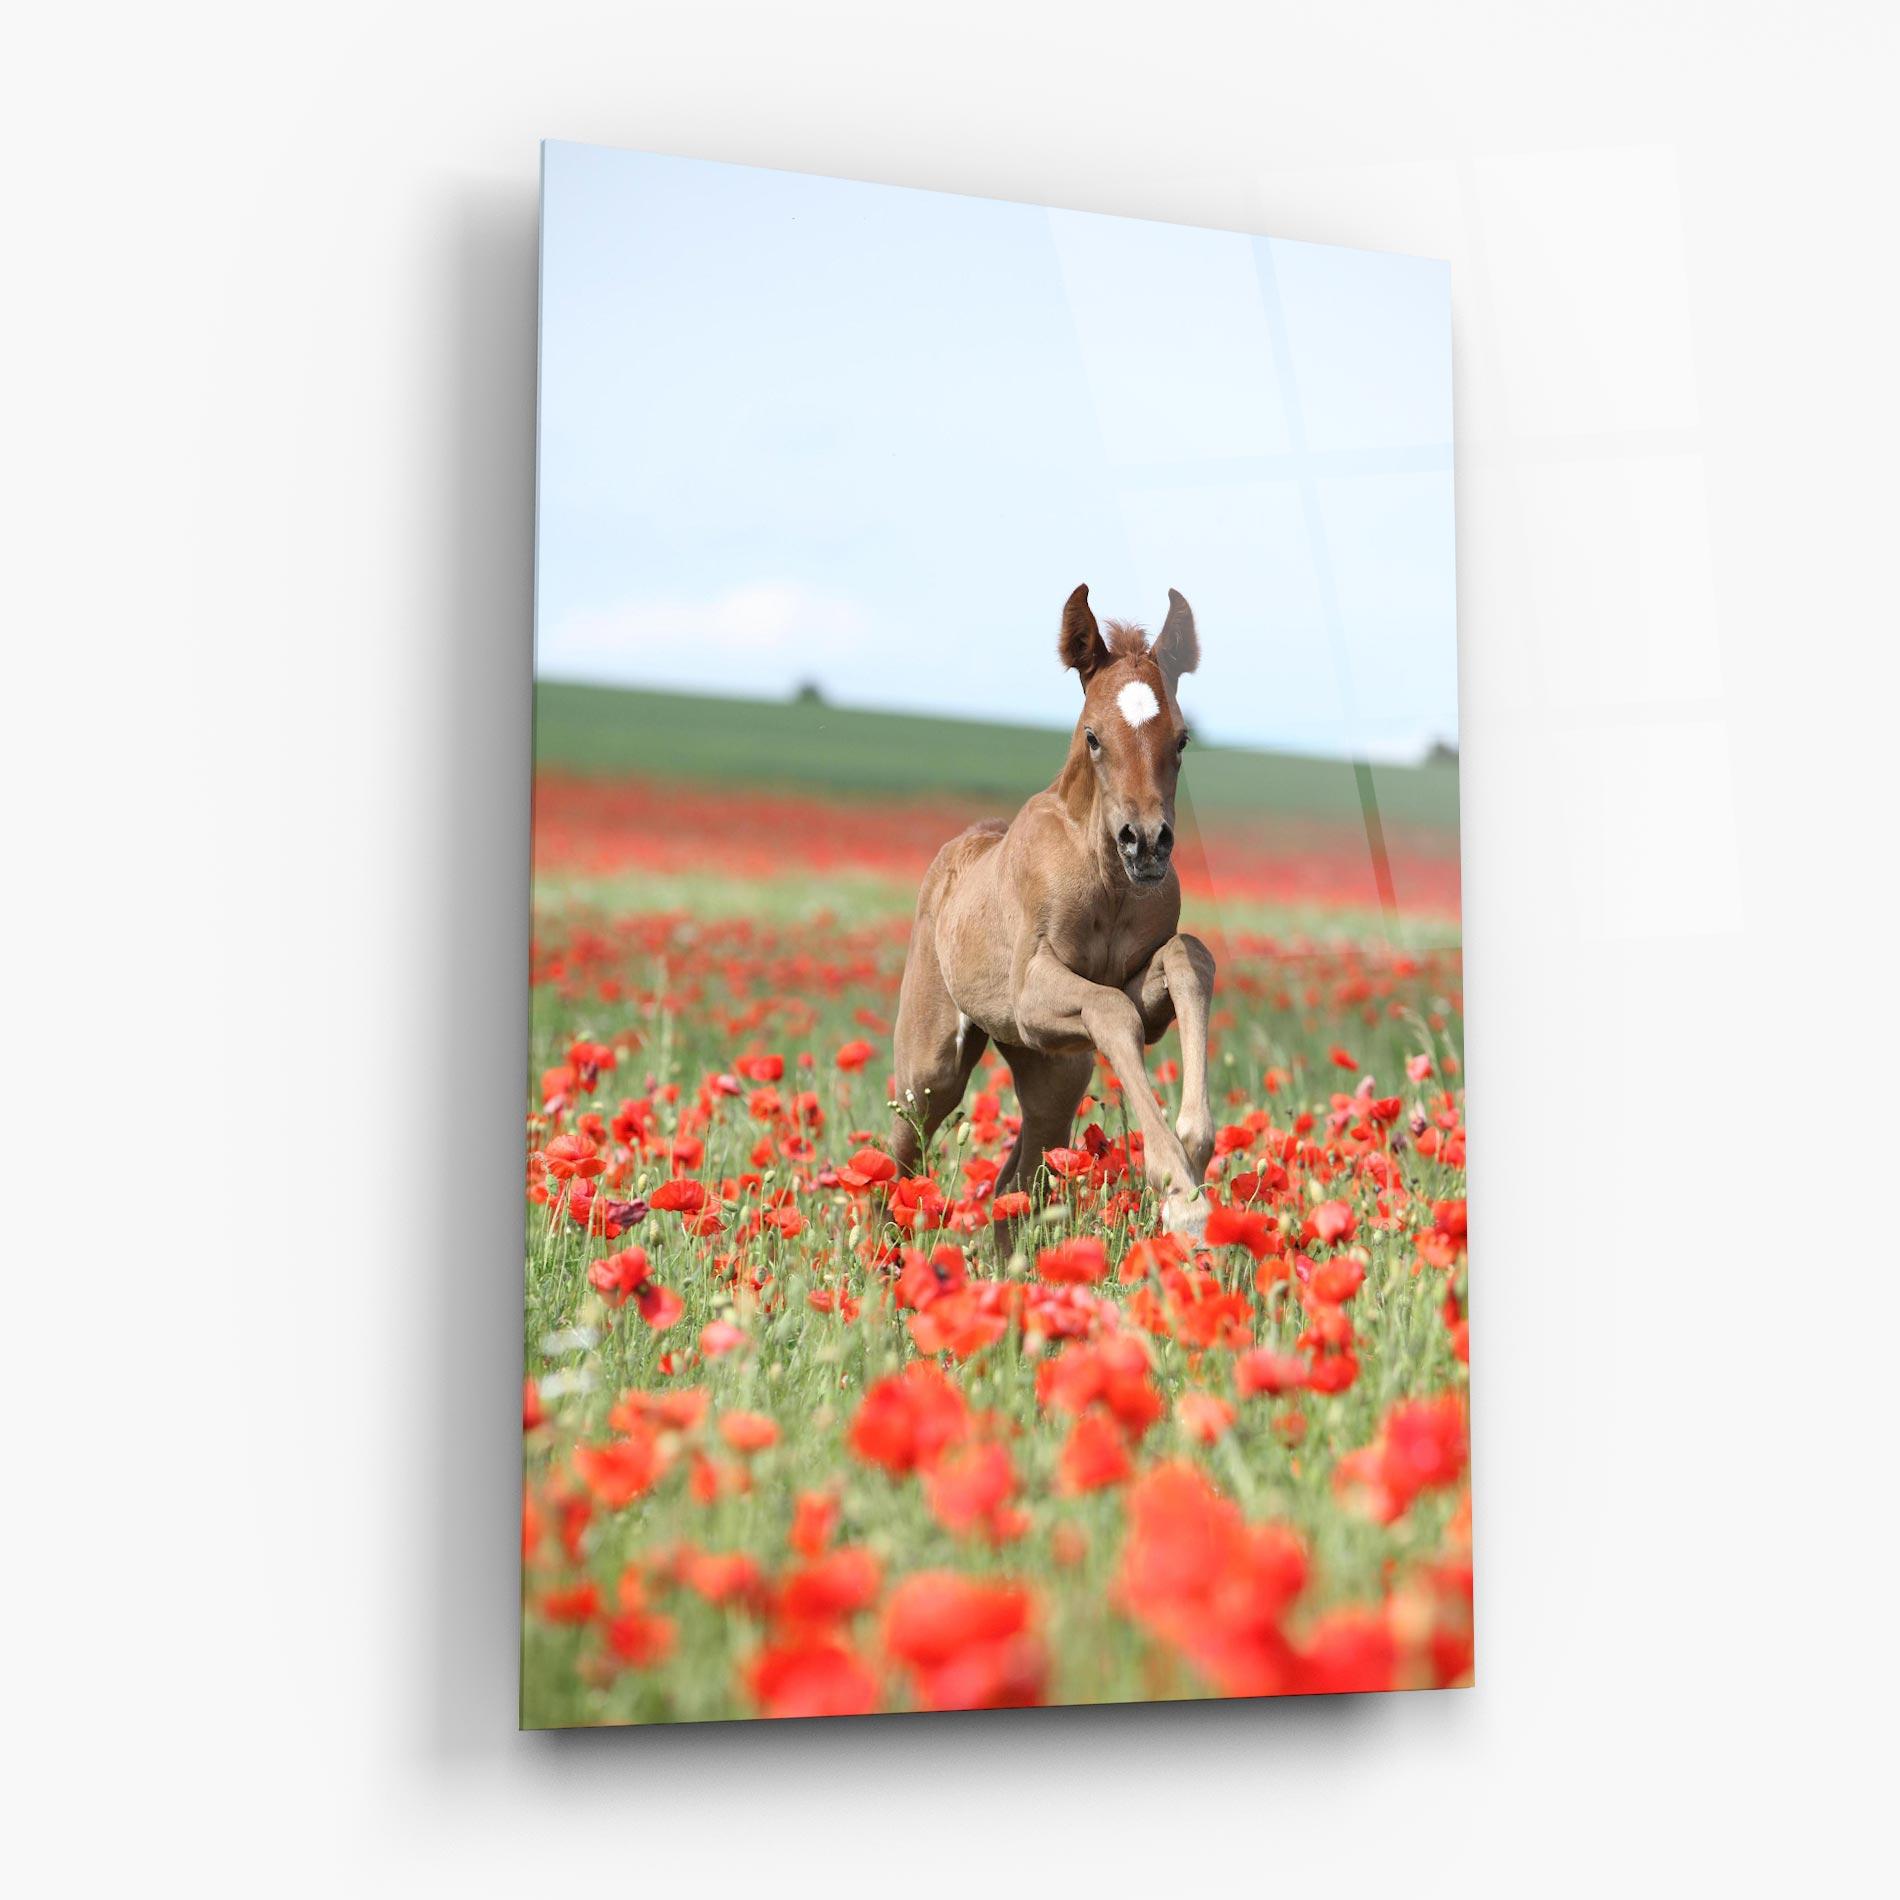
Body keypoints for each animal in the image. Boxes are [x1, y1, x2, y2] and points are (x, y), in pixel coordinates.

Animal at [890, 583, 1217, 1235]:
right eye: (1093, 736)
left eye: (1181, 739)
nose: (1146, 843)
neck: (1107, 883)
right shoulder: (1031, 995)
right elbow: (1111, 1010)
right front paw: (1179, 1192)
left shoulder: (1137, 995)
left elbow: (1186, 958)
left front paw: (1193, 1153)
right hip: (931, 1066)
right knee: (899, 1152)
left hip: (1053, 1072)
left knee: (1016, 1181)